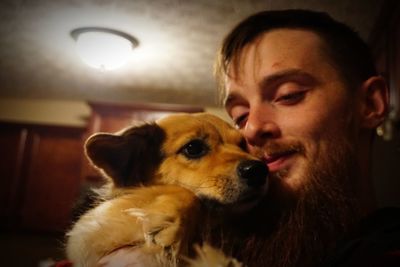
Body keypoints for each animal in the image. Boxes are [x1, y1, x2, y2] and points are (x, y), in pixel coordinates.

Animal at [66, 113, 268, 267]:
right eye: (193, 148)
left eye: (242, 145)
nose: (259, 170)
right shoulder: (89, 238)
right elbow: (186, 193)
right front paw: (171, 223)